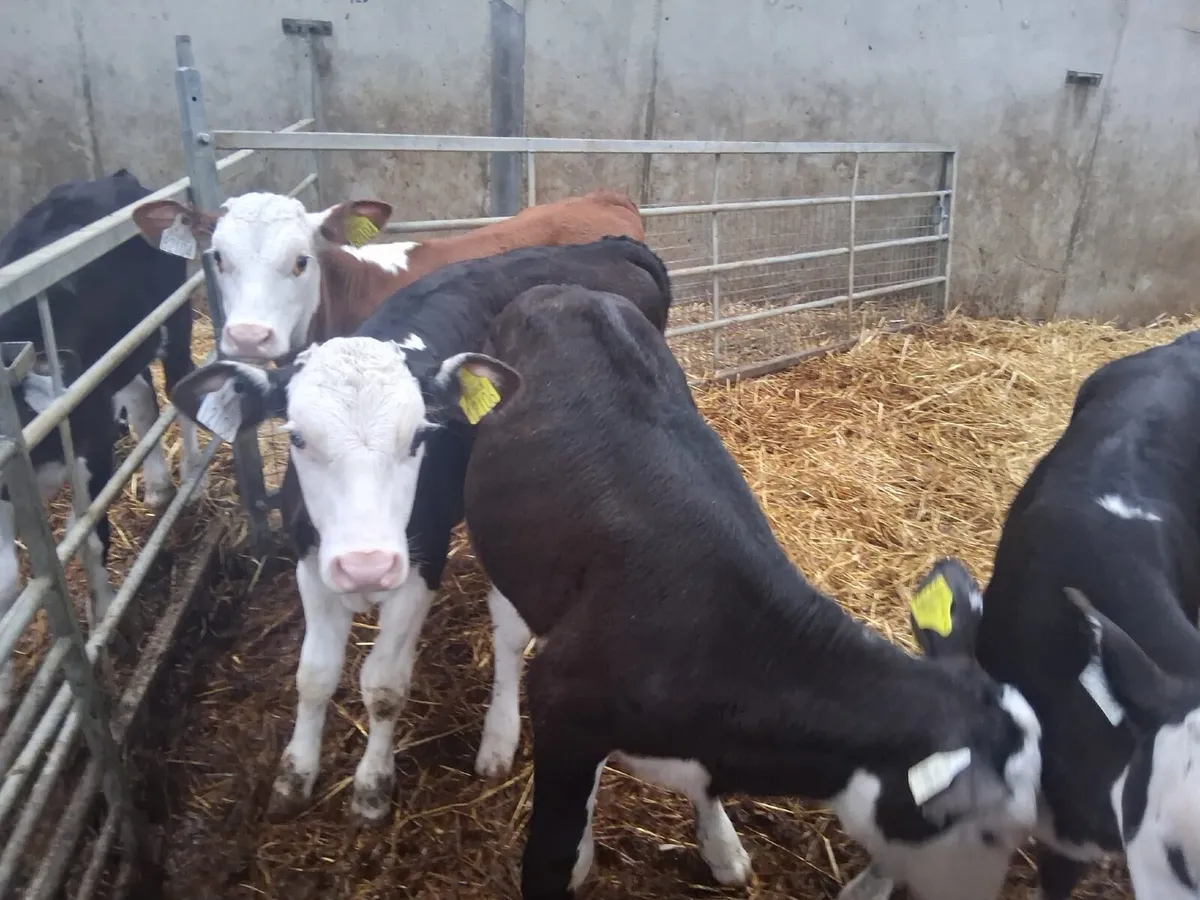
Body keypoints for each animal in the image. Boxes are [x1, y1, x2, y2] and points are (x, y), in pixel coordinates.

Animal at [0, 169, 204, 714]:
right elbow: (5, 580)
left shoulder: (89, 442)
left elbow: (88, 535)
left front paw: (106, 620)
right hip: (122, 355)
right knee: (141, 398)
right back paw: (157, 485)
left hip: (172, 319)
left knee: (180, 384)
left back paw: (191, 478)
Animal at [167, 237, 674, 825]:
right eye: (296, 437)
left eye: (419, 437)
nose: (365, 565)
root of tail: (605, 245)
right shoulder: (311, 560)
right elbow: (314, 674)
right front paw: (295, 775)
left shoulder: (422, 563)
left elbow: (384, 685)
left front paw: (371, 788)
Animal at [369, 283, 1040, 900]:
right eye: (988, 832)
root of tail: (563, 289)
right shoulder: (563, 698)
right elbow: (551, 856)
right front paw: (577, 854)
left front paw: (721, 847)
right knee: (509, 639)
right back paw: (499, 738)